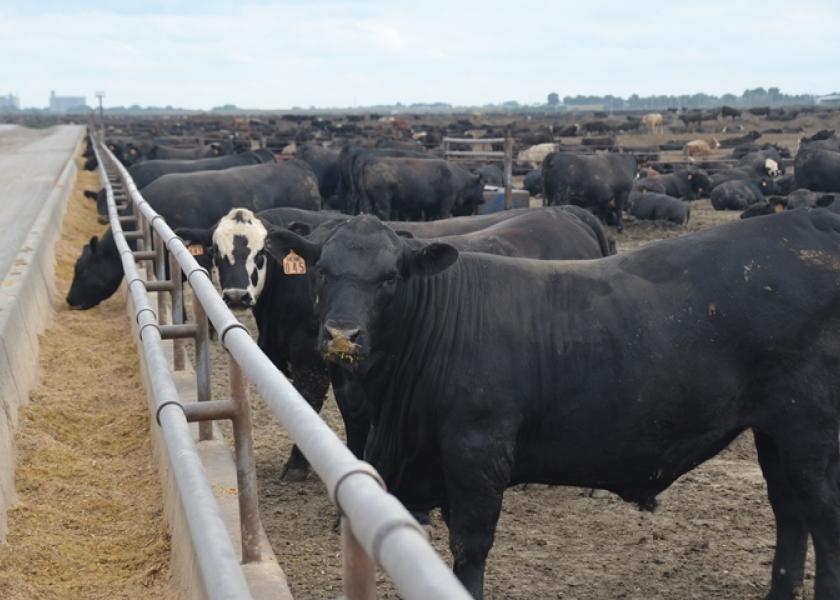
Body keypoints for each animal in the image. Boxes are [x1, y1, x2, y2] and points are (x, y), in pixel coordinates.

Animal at [266, 211, 840, 600]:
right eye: (321, 271)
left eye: (390, 277)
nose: (343, 335)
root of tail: (807, 222)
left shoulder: (477, 452)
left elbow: (470, 548)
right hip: (775, 432)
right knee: (789, 513)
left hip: (812, 433)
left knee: (823, 518)